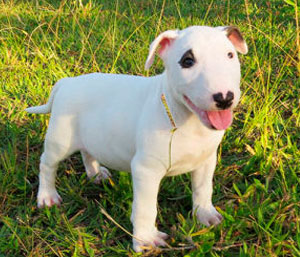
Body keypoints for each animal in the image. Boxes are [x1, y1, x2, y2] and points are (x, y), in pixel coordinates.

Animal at [26, 25, 246, 250]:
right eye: (187, 61)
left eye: (230, 55)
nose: (225, 98)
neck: (187, 119)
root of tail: (67, 82)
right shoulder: (146, 170)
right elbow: (145, 208)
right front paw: (146, 240)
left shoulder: (206, 160)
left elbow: (203, 188)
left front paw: (205, 214)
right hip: (60, 139)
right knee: (47, 164)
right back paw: (47, 197)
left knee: (87, 152)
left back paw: (96, 174)